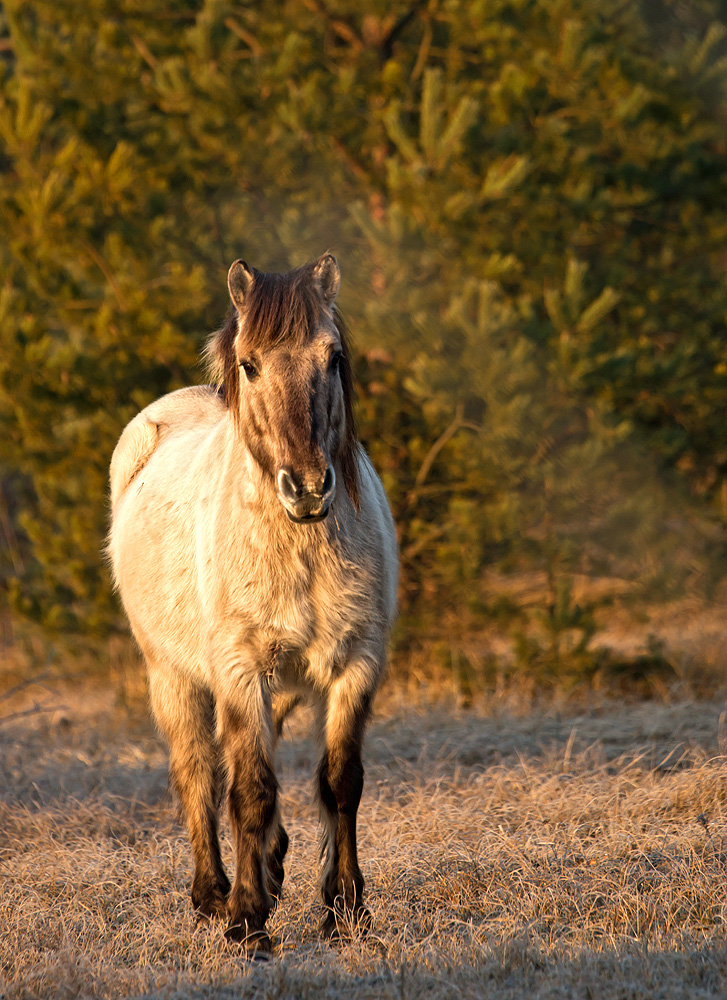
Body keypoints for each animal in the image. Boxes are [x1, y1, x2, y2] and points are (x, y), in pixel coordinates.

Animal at [108, 254, 398, 956]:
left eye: (333, 357)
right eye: (249, 365)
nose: (308, 488)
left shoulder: (356, 667)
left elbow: (340, 783)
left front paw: (346, 909)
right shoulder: (238, 673)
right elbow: (250, 790)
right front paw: (246, 920)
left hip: (283, 684)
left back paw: (270, 866)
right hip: (174, 676)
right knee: (198, 774)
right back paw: (212, 893)